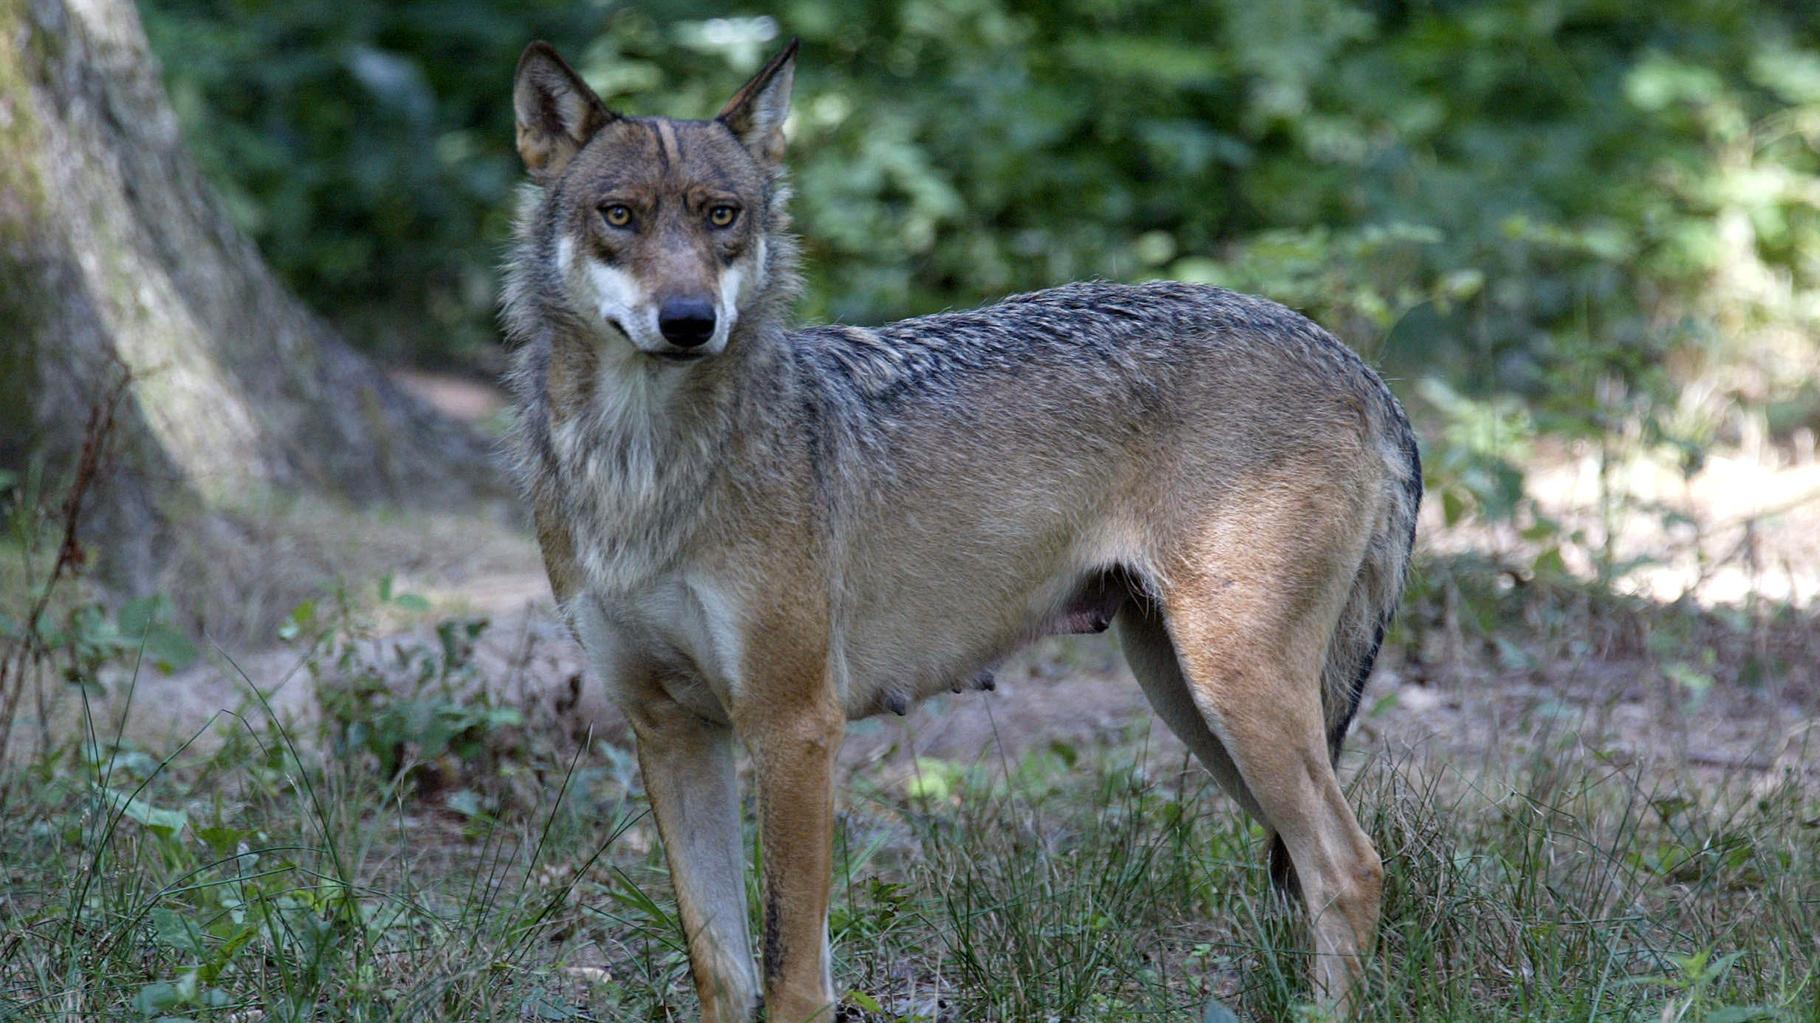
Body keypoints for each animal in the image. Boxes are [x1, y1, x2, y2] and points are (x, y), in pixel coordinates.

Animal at [502, 35, 1419, 1012]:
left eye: (722, 215)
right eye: (620, 215)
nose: (688, 321)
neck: (641, 466)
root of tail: (1360, 367)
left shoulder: (795, 729)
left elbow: (792, 980)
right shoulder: (672, 732)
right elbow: (723, 970)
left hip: (1234, 696)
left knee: (1351, 866)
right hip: (1196, 707)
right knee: (1325, 866)